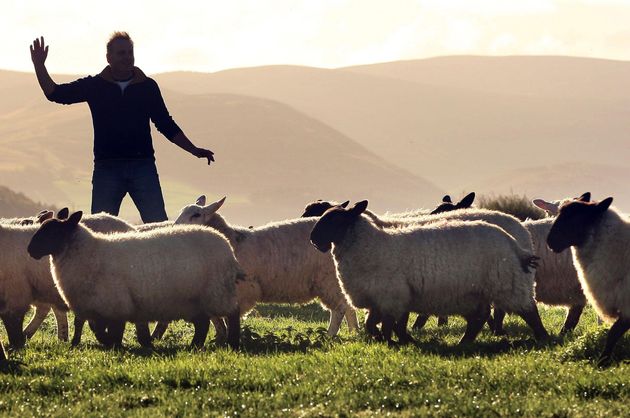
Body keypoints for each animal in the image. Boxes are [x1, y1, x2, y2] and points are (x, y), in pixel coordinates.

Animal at [26, 211, 242, 352]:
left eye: (54, 232)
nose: (30, 250)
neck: (90, 252)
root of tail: (226, 246)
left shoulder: (116, 305)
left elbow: (109, 330)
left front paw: (114, 344)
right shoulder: (98, 308)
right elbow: (97, 329)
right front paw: (113, 344)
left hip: (217, 291)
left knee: (233, 314)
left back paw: (232, 342)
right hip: (194, 300)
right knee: (203, 323)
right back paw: (194, 346)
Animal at [173, 196, 360, 336]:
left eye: (196, 215)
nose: (174, 228)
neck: (232, 241)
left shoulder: (243, 291)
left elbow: (229, 318)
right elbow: (216, 319)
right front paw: (220, 338)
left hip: (328, 280)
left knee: (339, 309)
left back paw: (329, 336)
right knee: (349, 306)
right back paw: (354, 332)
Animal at [314, 201, 552, 344]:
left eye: (335, 219)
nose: (313, 240)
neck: (372, 244)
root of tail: (513, 242)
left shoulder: (392, 297)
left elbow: (387, 325)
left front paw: (390, 341)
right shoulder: (381, 300)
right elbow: (374, 324)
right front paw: (395, 340)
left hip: (507, 283)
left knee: (529, 310)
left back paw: (543, 337)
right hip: (477, 292)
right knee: (480, 318)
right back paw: (463, 343)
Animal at [548, 194, 630, 364]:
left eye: (575, 217)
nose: (550, 241)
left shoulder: (626, 302)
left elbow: (613, 332)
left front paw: (602, 362)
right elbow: (614, 332)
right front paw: (603, 360)